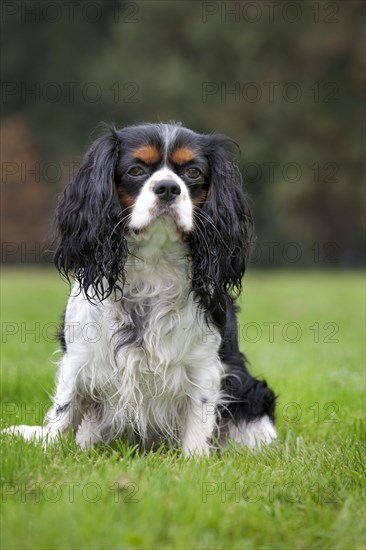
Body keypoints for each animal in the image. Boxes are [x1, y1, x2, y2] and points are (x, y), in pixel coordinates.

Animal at [7, 125, 276, 458]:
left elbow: (198, 421)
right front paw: (51, 451)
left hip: (252, 393)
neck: (154, 265)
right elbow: (65, 411)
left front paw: (195, 463)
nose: (168, 188)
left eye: (193, 172)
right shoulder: (79, 359)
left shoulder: (204, 367)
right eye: (136, 170)